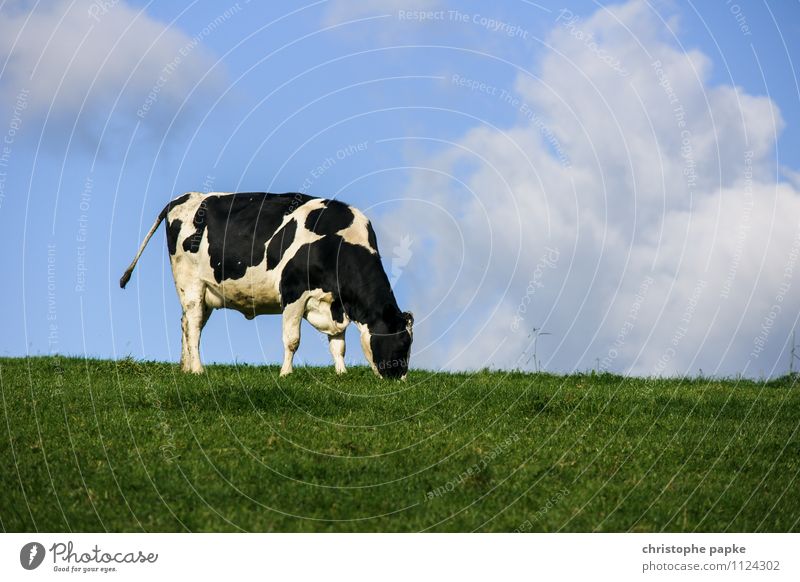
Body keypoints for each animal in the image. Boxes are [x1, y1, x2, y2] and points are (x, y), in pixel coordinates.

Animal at [123, 194, 418, 380]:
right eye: (403, 342)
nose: (400, 379)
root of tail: (183, 198)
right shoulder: (294, 292)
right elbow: (292, 340)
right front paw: (286, 374)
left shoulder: (334, 302)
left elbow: (338, 345)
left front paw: (341, 373)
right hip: (190, 283)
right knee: (193, 325)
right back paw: (197, 370)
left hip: (207, 291)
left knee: (186, 323)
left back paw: (185, 368)